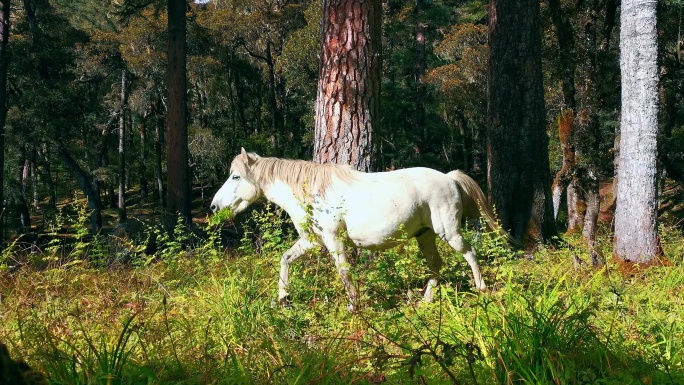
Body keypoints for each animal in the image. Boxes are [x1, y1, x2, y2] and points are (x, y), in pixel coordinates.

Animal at [211, 148, 500, 310]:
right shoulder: (312, 241)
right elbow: (285, 259)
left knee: (470, 254)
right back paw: (426, 300)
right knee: (436, 264)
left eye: (235, 176)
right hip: (425, 235)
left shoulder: (334, 242)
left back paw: (482, 289)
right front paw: (283, 298)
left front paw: (353, 306)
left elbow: (344, 272)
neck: (313, 192)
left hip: (448, 232)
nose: (214, 207)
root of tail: (449, 178)